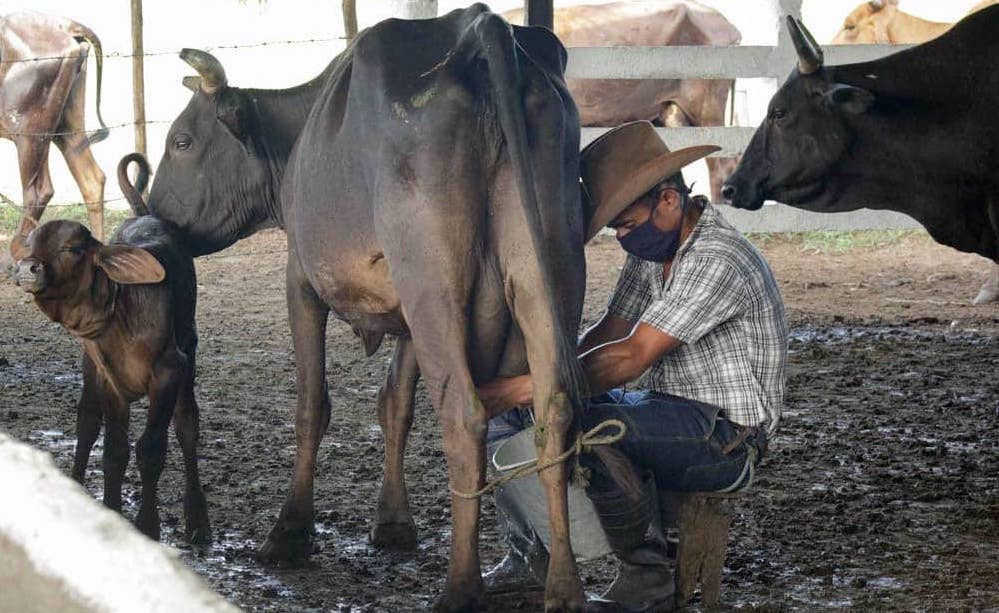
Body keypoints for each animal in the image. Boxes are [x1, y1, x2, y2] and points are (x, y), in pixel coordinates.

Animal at [11, 213, 211, 544]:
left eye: (74, 248)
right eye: (31, 244)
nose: (27, 268)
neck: (123, 313)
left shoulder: (169, 372)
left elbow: (150, 449)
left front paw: (147, 526)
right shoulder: (108, 379)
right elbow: (114, 450)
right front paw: (113, 513)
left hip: (189, 352)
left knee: (187, 426)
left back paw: (198, 521)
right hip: (89, 369)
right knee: (87, 423)